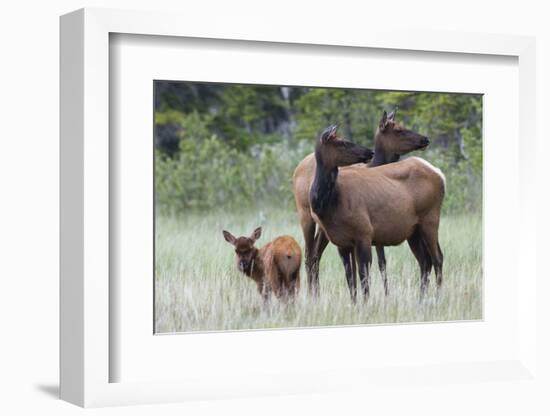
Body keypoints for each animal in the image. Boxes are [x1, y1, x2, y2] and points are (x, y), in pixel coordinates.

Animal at [296, 110, 434, 298]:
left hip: (323, 229)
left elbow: (377, 263)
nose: (425, 139)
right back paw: (312, 294)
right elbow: (374, 264)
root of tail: (297, 169)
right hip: (305, 217)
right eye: (399, 130)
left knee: (316, 254)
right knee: (309, 255)